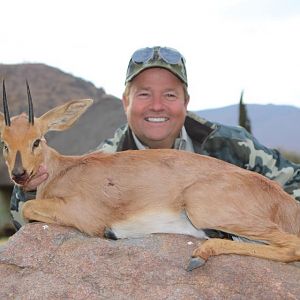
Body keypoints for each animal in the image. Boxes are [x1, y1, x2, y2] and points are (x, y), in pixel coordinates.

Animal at [0, 81, 300, 270]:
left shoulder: (85, 215)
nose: (19, 174)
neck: (64, 169)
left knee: (293, 246)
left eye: (37, 140)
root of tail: (285, 202)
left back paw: (199, 255)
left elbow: (28, 207)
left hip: (205, 209)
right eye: (4, 143)